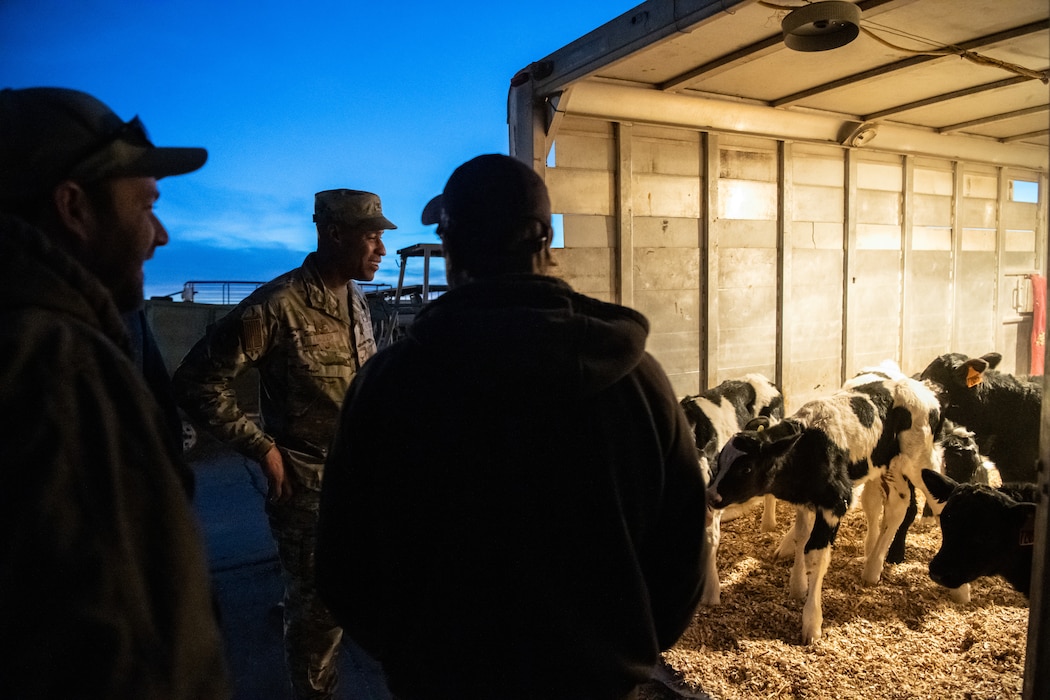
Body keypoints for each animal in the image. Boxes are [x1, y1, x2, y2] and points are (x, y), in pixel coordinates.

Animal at [709, 377, 940, 646]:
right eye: (720, 460)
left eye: (745, 468)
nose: (712, 495)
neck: (809, 447)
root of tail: (923, 389)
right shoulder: (806, 501)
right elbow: (801, 537)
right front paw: (798, 586)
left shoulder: (834, 503)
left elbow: (815, 555)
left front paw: (812, 622)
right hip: (891, 467)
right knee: (897, 507)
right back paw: (873, 568)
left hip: (921, 462)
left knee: (939, 500)